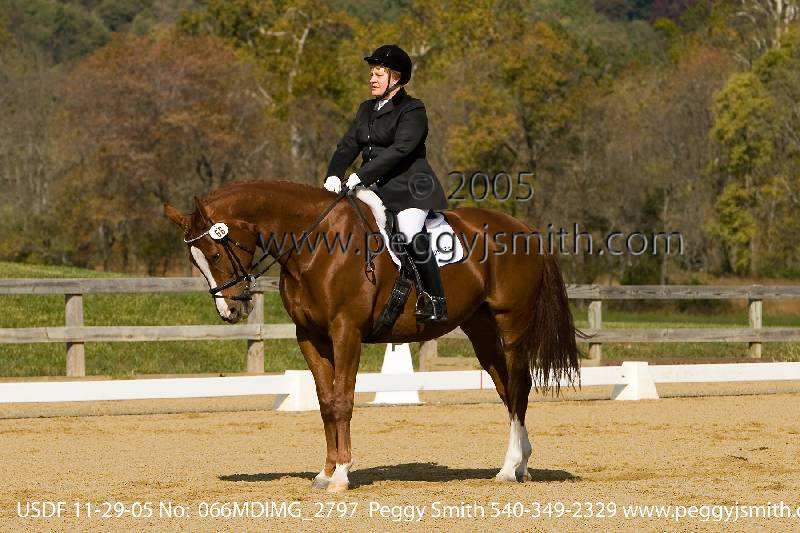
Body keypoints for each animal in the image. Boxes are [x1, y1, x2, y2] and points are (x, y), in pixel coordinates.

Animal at [164, 180, 581, 492]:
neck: (315, 244)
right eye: (195, 261)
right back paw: (520, 464)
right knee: (506, 388)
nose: (231, 311)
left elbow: (343, 402)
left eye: (215, 255)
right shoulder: (310, 337)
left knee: (519, 386)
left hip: (511, 324)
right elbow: (325, 403)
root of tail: (526, 231)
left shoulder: (345, 332)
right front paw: (325, 473)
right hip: (480, 328)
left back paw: (510, 469)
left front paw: (341, 476)